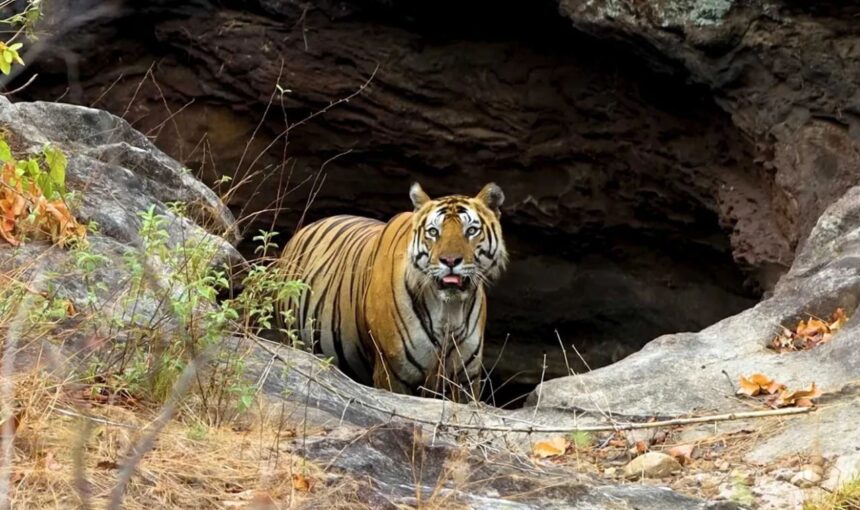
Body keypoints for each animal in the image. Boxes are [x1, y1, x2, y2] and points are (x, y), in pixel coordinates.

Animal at [278, 182, 507, 399]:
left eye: (471, 231)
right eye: (433, 232)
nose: (450, 261)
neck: (448, 311)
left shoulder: (466, 378)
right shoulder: (393, 372)